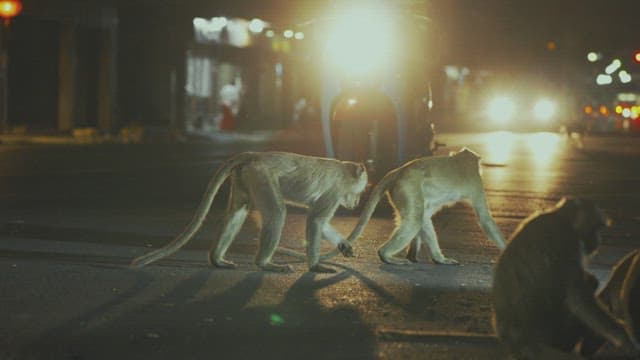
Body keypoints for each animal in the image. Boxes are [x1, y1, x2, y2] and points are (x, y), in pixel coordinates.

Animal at [128, 151, 368, 272]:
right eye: (360, 191)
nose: (357, 202)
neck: (345, 171)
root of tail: (255, 155)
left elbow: (321, 222)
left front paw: (343, 244)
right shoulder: (336, 190)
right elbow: (316, 219)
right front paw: (316, 265)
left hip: (245, 176)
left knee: (238, 212)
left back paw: (217, 259)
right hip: (262, 175)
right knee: (277, 212)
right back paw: (263, 263)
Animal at [338, 148, 508, 266]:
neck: (462, 159)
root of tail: (398, 171)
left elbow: (426, 216)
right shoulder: (476, 182)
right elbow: (485, 220)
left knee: (419, 217)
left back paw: (437, 258)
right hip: (406, 187)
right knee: (415, 220)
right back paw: (385, 254)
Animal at [492, 198, 636, 358]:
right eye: (596, 229)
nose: (599, 240)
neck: (561, 218)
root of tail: (516, 344)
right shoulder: (567, 241)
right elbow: (579, 300)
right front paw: (623, 337)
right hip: (555, 336)